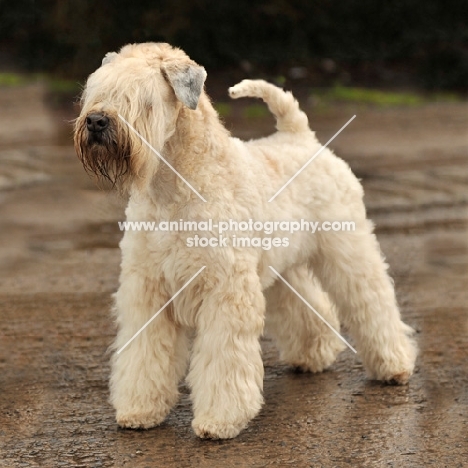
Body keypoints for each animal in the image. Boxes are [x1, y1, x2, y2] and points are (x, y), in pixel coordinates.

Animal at [73, 43, 416, 438]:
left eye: (142, 98)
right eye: (97, 91)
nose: (96, 122)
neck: (173, 186)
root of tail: (300, 137)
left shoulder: (225, 289)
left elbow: (223, 359)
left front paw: (220, 420)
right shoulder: (148, 289)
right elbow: (145, 353)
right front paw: (139, 409)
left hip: (348, 251)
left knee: (373, 303)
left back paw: (394, 365)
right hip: (280, 268)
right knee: (309, 306)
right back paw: (312, 354)